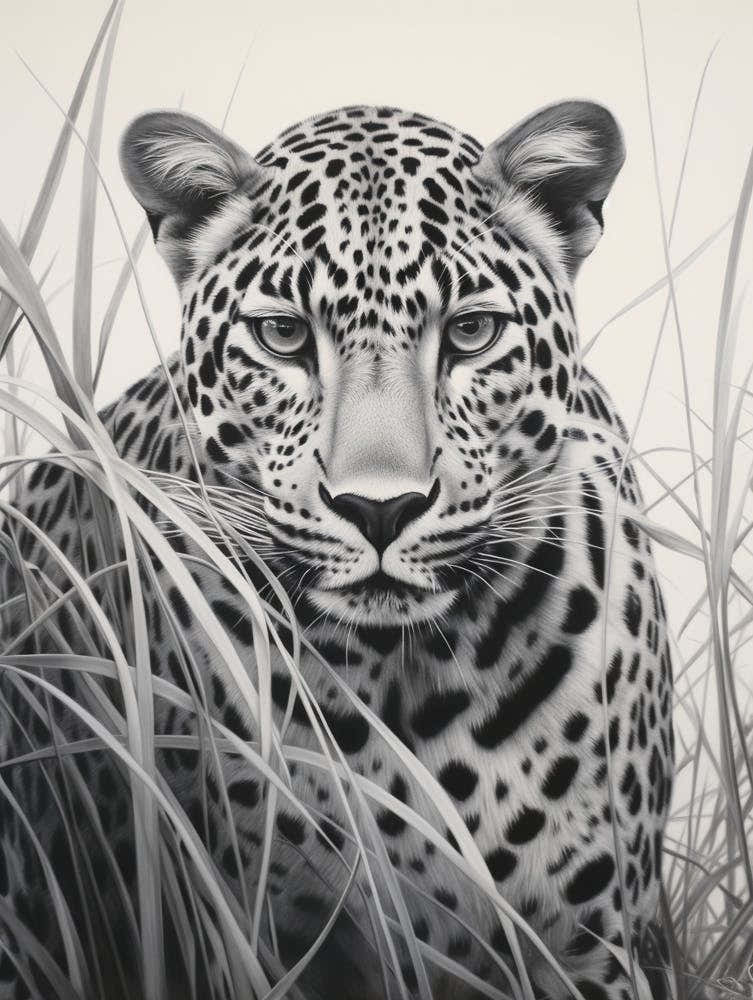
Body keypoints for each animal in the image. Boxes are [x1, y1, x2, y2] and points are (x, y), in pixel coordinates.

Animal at [0, 100, 675, 1000]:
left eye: (471, 331)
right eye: (283, 336)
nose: (378, 509)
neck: (411, 675)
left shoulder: (593, 944)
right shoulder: (263, 937)